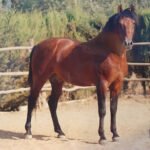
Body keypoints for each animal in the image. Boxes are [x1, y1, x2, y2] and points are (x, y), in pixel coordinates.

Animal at [24, 4, 138, 143]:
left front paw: (115, 135)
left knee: (52, 104)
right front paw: (102, 137)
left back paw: (60, 132)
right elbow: (102, 110)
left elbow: (113, 109)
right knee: (31, 100)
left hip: (57, 81)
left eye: (133, 23)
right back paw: (28, 132)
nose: (128, 43)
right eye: (120, 23)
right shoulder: (101, 84)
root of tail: (38, 45)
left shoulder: (117, 84)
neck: (109, 52)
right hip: (39, 79)